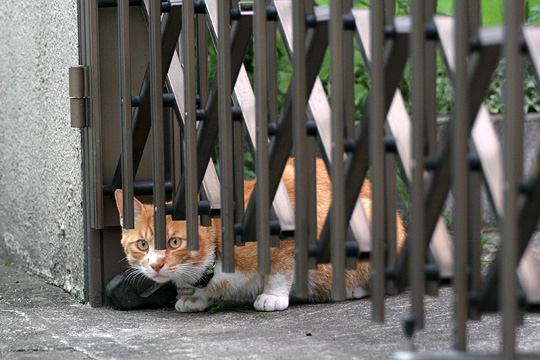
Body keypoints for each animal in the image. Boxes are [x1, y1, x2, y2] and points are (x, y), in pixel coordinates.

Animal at [115, 158, 404, 312]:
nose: (156, 265)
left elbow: (280, 271)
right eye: (143, 244)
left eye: (174, 242)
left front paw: (272, 296)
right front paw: (195, 298)